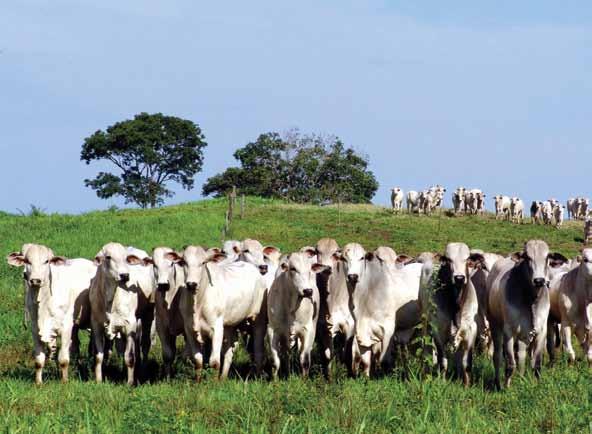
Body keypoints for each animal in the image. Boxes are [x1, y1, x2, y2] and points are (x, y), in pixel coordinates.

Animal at [6, 244, 96, 384]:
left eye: (46, 261)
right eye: (27, 261)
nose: (35, 280)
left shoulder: (65, 328)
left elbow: (63, 359)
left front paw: (64, 381)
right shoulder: (35, 330)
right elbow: (39, 361)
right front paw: (38, 383)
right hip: (74, 326)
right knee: (75, 347)